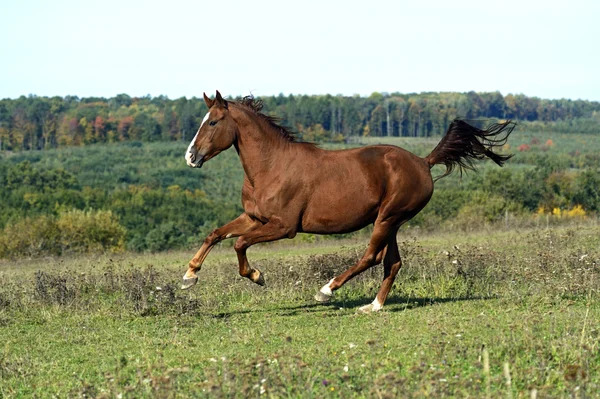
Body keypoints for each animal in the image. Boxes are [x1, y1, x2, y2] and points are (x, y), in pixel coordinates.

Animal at [180, 90, 512, 312]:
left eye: (213, 122)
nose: (190, 157)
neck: (272, 166)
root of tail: (424, 162)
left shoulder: (283, 227)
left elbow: (239, 244)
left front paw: (257, 276)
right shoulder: (253, 218)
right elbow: (215, 234)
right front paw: (189, 277)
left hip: (388, 218)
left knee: (372, 257)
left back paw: (327, 290)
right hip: (392, 222)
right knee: (392, 262)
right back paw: (373, 306)